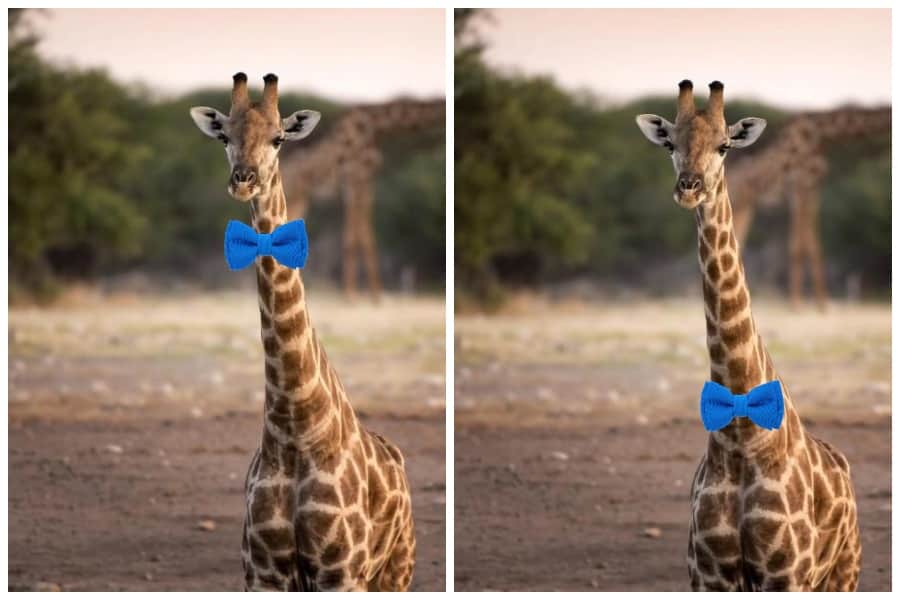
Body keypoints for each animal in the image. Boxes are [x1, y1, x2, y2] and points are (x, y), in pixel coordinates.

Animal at [189, 73, 415, 591]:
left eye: (278, 138)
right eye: (224, 136)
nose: (244, 179)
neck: (294, 431)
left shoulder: (341, 571)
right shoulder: (261, 572)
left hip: (396, 570)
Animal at [280, 98, 445, 301]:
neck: (377, 126)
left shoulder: (367, 181)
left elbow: (366, 234)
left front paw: (375, 295)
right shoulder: (356, 177)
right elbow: (355, 238)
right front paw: (354, 295)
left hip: (300, 197)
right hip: (295, 193)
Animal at [636, 80, 860, 591]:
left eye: (724, 146)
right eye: (670, 144)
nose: (690, 188)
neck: (739, 435)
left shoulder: (786, 573)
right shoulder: (708, 573)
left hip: (843, 572)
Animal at [727, 106, 890, 309]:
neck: (822, 134)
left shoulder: (813, 188)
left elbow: (814, 244)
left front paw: (822, 304)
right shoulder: (801, 184)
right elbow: (799, 246)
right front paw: (798, 303)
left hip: (745, 204)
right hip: (739, 201)